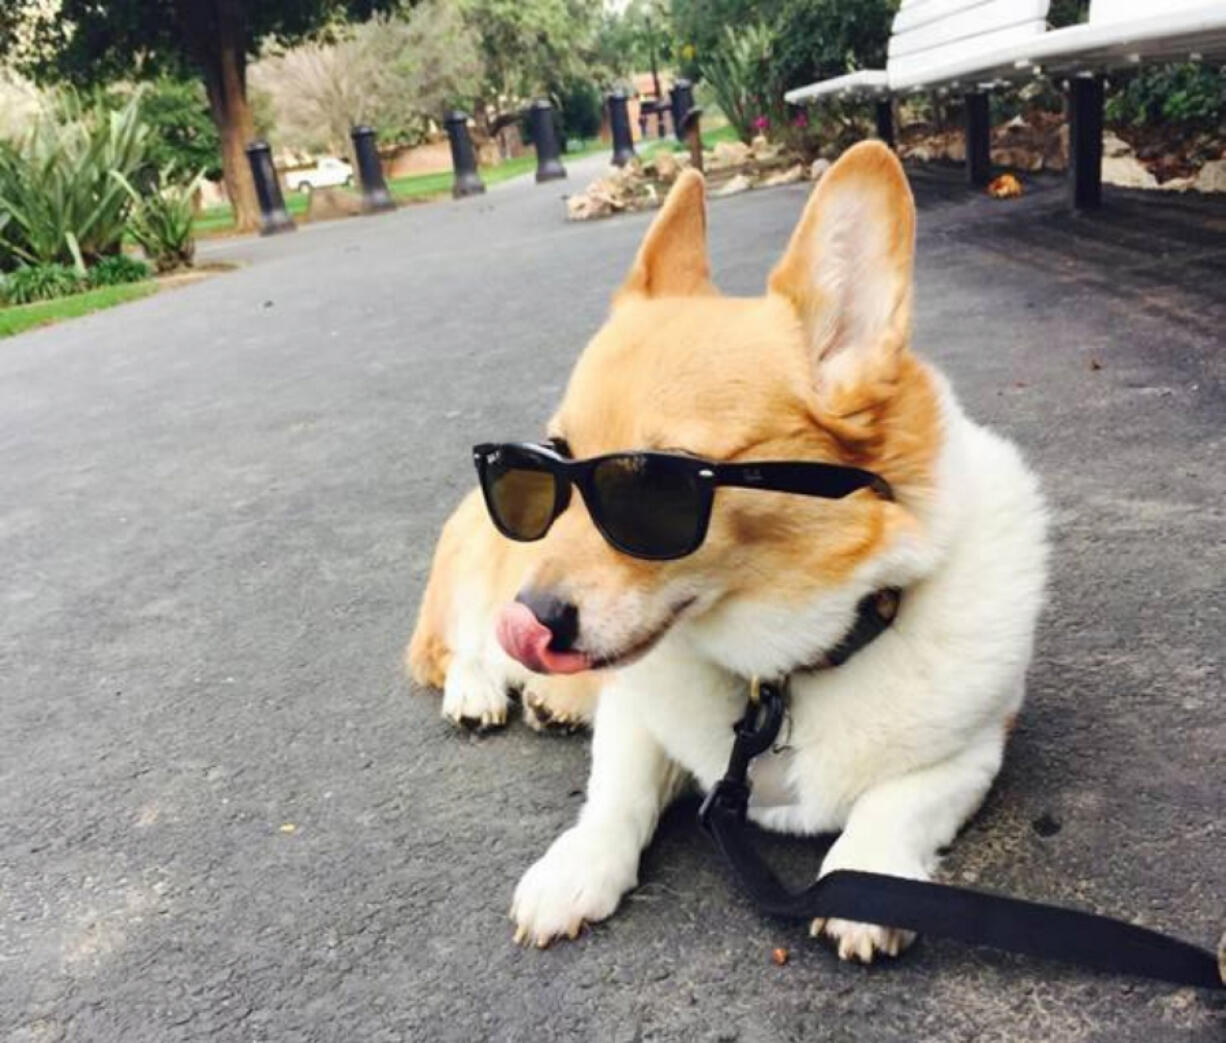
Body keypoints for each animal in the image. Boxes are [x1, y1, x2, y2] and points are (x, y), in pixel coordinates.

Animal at [492, 142, 1049, 965]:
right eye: (554, 457)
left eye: (654, 485)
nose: (528, 620)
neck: (782, 667)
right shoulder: (635, 712)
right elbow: (617, 790)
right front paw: (576, 868)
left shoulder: (974, 749)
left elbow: (898, 800)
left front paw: (866, 872)